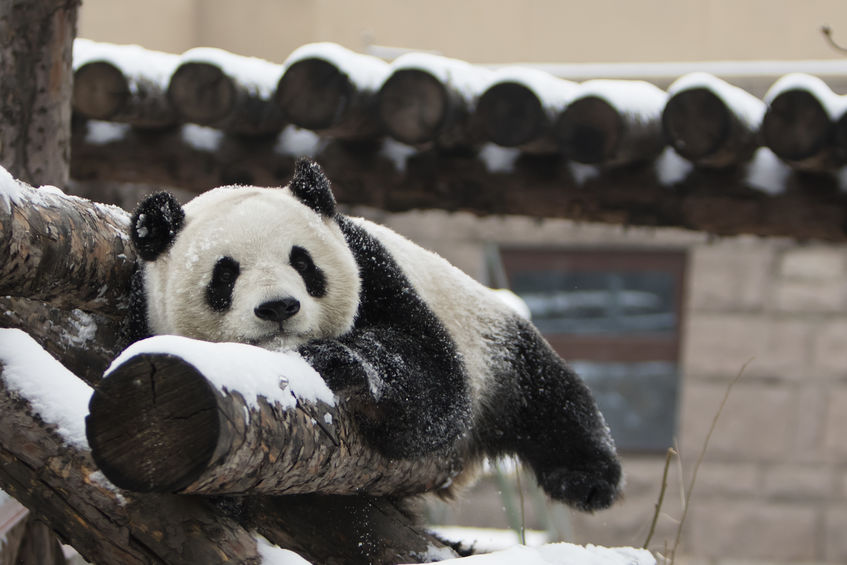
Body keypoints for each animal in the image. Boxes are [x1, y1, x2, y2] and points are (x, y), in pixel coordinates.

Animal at [131, 155, 624, 512]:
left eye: (302, 262)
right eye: (225, 274)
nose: (278, 307)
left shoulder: (373, 268)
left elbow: (437, 383)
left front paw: (341, 361)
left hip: (489, 337)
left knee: (546, 395)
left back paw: (586, 480)